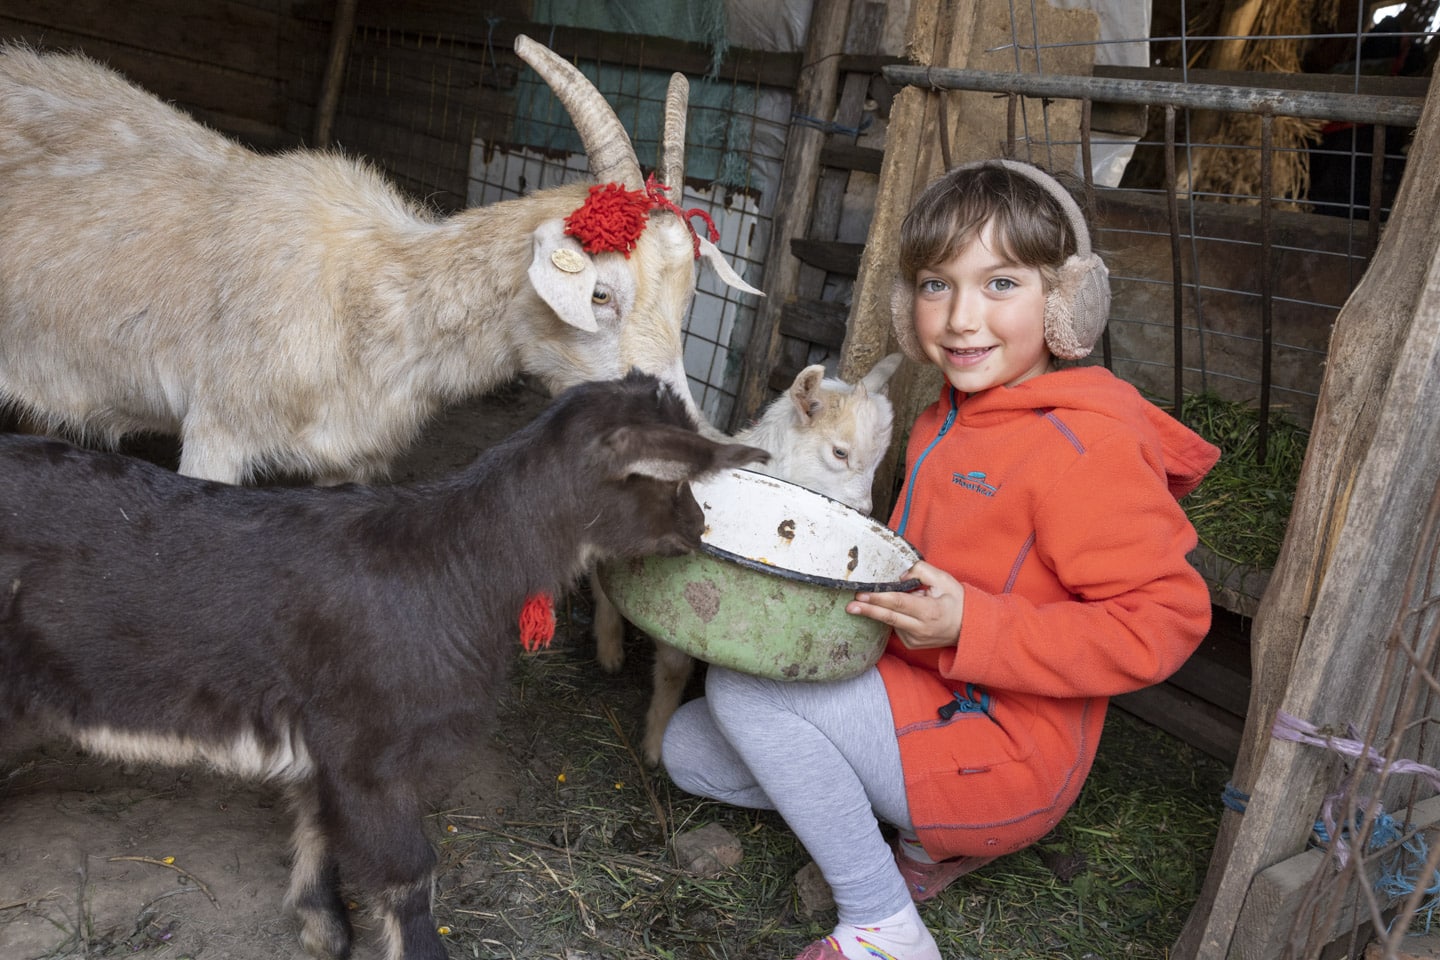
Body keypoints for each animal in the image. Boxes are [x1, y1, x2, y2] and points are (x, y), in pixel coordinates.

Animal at [0, 37, 760, 483]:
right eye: (601, 294)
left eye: (688, 300)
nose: (684, 446)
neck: (369, 293)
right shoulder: (216, 433)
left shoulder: (349, 464)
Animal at [0, 374, 766, 960]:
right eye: (673, 483)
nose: (700, 528)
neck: (458, 570)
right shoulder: (369, 749)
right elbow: (408, 875)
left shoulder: (325, 745)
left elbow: (318, 830)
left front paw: (324, 932)